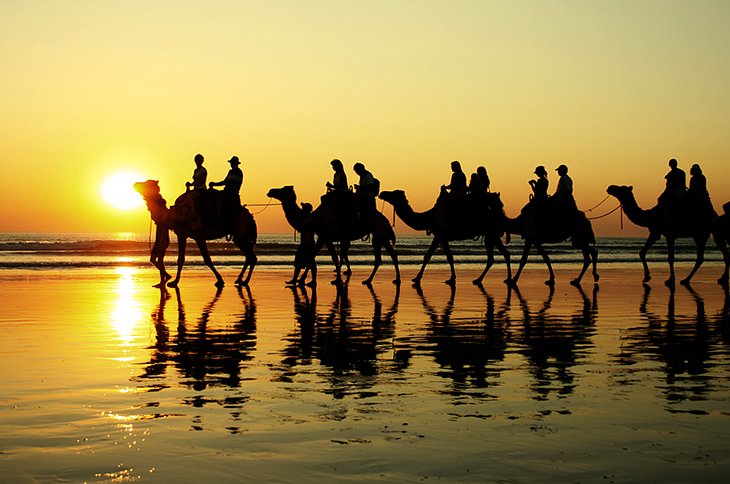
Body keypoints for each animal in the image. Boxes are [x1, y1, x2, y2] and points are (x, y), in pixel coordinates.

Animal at [264, 184, 398, 284]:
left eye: (283, 189)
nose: (270, 191)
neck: (313, 219)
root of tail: (386, 220)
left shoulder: (324, 235)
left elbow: (319, 255)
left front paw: (336, 280)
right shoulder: (325, 237)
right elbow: (325, 256)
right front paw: (303, 279)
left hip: (380, 233)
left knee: (389, 255)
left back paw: (394, 280)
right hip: (378, 236)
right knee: (382, 257)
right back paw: (370, 280)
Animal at [376, 188, 512, 288]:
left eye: (394, 193)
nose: (382, 193)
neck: (429, 217)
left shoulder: (440, 235)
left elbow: (431, 256)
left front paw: (417, 278)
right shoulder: (440, 236)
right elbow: (447, 257)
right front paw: (451, 278)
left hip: (491, 233)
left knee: (496, 256)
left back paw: (489, 280)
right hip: (492, 234)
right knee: (502, 255)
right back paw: (498, 279)